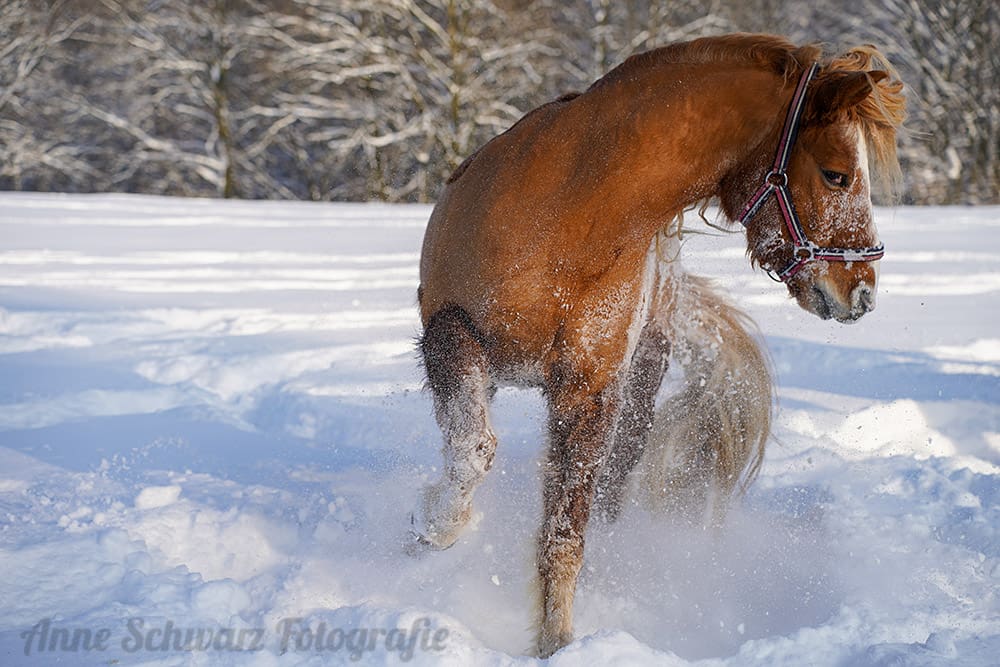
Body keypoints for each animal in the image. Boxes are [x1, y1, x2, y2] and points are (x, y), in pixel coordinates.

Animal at [410, 33, 905, 657]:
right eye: (837, 175)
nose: (860, 292)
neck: (567, 217)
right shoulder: (450, 332)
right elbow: (472, 449)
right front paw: (434, 527)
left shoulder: (589, 390)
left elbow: (564, 532)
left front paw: (558, 643)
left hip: (640, 390)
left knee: (612, 485)